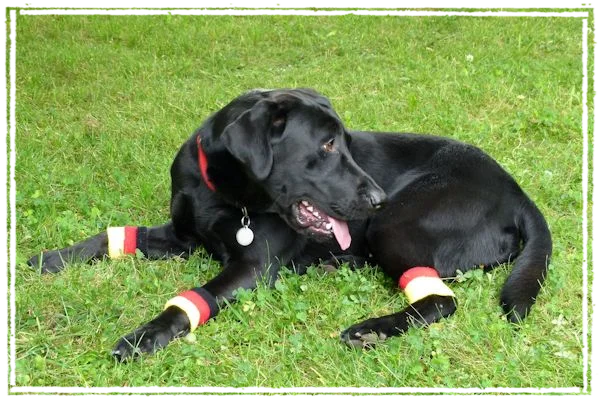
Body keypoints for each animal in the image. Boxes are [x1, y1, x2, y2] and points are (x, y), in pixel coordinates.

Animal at [28, 88, 552, 362]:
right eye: (326, 145)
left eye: (344, 142)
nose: (377, 197)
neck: (222, 191)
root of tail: (519, 192)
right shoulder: (180, 235)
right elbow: (109, 237)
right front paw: (51, 258)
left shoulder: (251, 267)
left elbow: (191, 301)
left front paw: (144, 336)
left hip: (395, 225)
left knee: (440, 299)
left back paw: (371, 329)